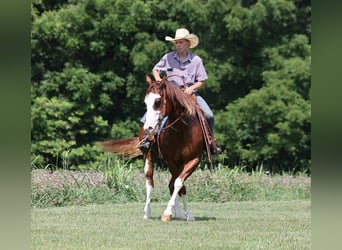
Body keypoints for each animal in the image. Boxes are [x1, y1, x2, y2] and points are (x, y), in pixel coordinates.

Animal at [99, 75, 212, 222]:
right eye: (145, 102)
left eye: (158, 101)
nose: (149, 128)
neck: (183, 129)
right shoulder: (172, 161)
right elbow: (177, 184)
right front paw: (168, 213)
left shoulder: (193, 160)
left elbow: (178, 183)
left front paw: (186, 214)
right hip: (149, 157)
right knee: (150, 182)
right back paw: (147, 212)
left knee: (171, 184)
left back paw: (180, 214)